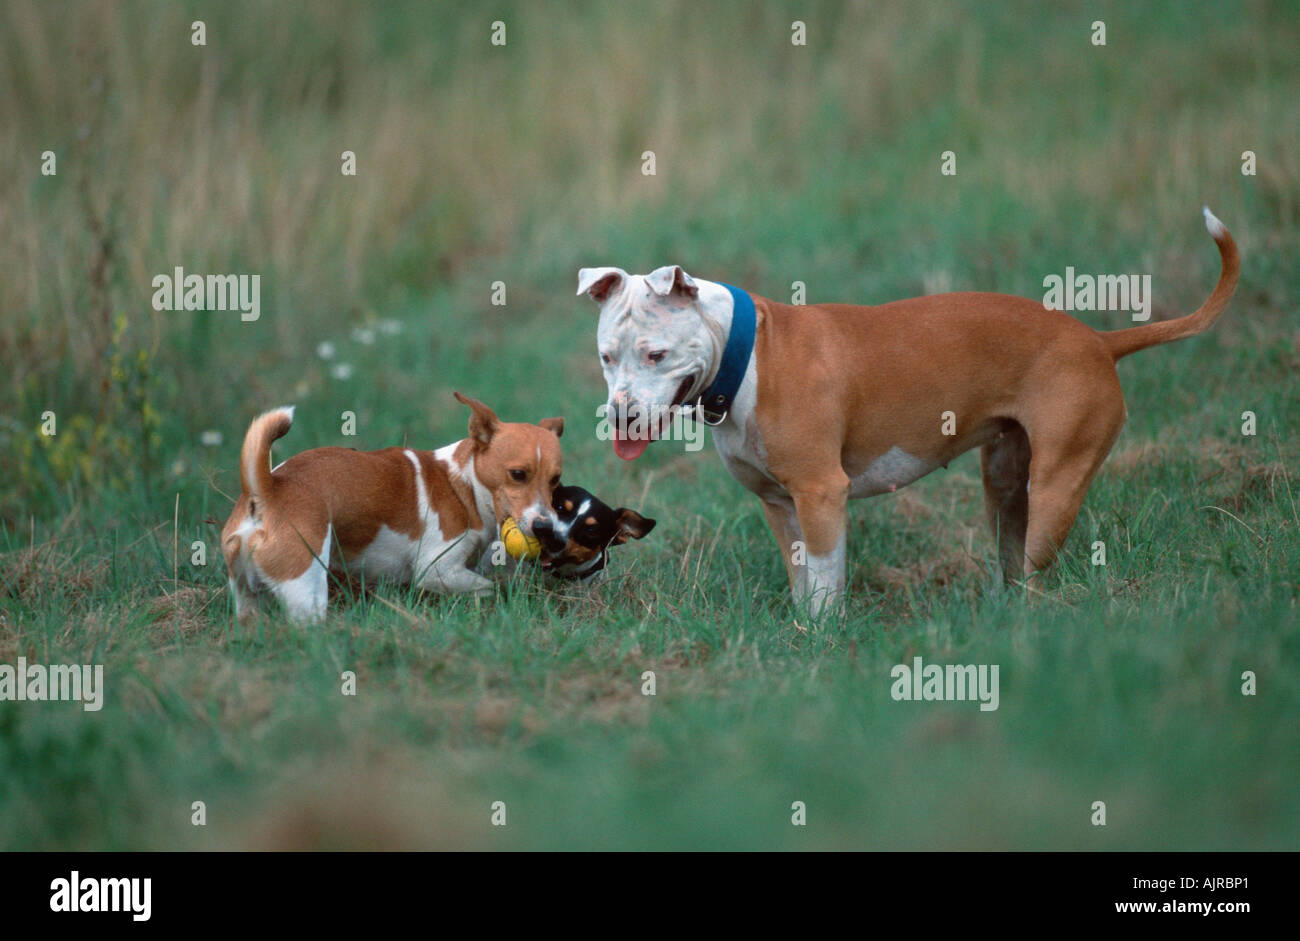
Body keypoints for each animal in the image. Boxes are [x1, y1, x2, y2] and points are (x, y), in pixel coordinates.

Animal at [219, 392, 564, 621]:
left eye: (555, 480)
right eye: (517, 474)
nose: (545, 527)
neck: (463, 483)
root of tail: (266, 490)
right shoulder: (437, 571)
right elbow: (486, 587)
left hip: (246, 594)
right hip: (306, 587)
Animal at [585, 209, 1242, 613]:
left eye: (657, 353)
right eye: (606, 356)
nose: (619, 416)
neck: (746, 354)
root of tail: (1099, 341)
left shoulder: (822, 494)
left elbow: (826, 582)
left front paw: (823, 643)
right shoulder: (780, 504)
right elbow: (803, 583)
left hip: (1058, 482)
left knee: (1037, 568)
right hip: (1006, 484)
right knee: (1012, 552)